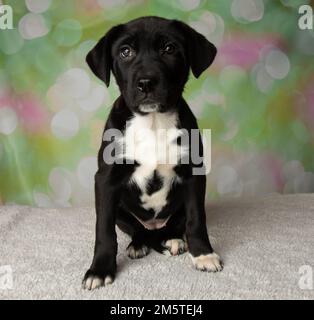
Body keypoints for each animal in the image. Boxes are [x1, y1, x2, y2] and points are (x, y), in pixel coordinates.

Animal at [82, 15, 222, 290]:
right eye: (125, 51)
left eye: (169, 49)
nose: (146, 83)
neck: (153, 121)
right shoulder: (105, 181)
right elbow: (103, 230)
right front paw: (100, 269)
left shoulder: (194, 176)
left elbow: (197, 219)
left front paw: (203, 254)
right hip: (122, 211)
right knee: (139, 230)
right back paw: (138, 245)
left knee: (172, 228)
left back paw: (174, 240)